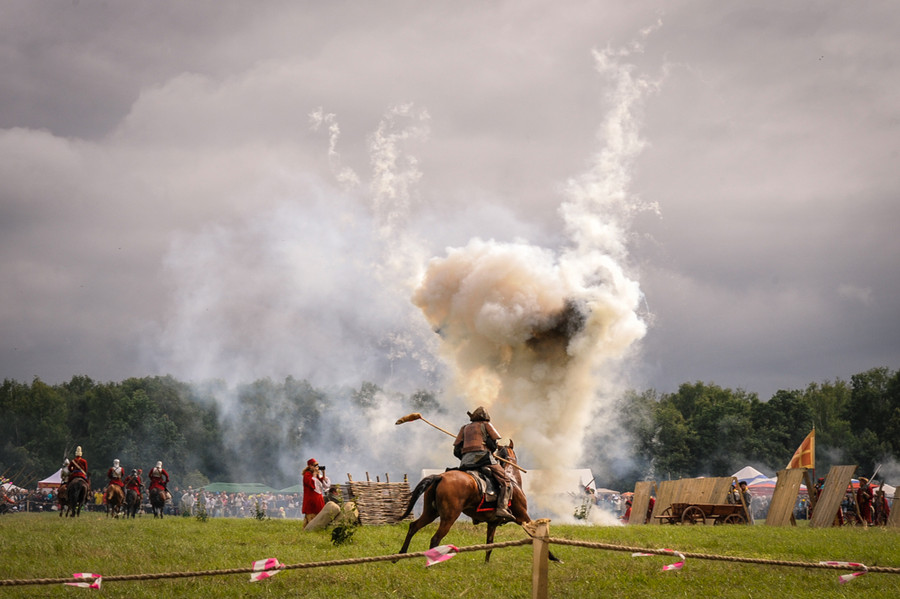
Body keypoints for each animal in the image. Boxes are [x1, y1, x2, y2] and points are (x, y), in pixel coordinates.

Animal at [400, 440, 556, 564]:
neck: (511, 479)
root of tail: (440, 477)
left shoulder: (492, 523)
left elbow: (489, 545)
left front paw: (486, 564)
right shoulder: (523, 518)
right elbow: (536, 535)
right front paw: (553, 558)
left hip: (431, 513)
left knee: (414, 527)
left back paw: (401, 554)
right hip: (449, 517)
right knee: (435, 539)